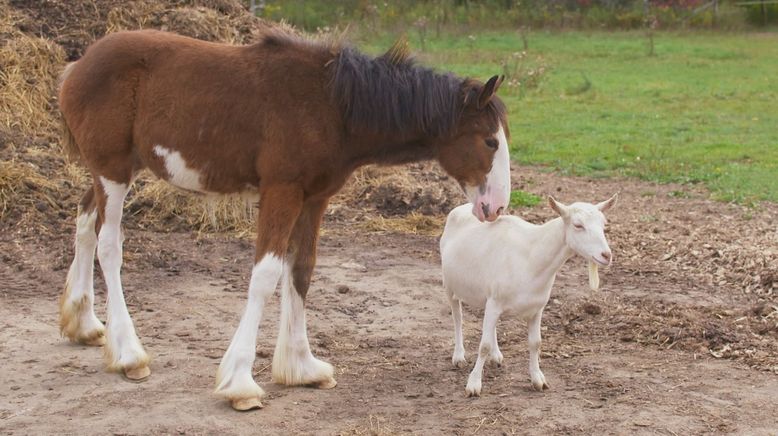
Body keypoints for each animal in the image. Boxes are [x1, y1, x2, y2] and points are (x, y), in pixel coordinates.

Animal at [59, 26, 510, 408]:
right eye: (489, 141)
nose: (496, 207)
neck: (332, 106)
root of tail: (76, 67)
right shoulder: (282, 191)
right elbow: (266, 275)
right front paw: (240, 382)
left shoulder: (313, 199)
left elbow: (301, 271)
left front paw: (301, 367)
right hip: (113, 171)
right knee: (108, 246)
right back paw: (129, 354)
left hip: (114, 170)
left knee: (83, 221)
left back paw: (84, 324)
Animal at [440, 196, 616, 396]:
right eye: (578, 225)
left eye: (603, 224)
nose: (606, 255)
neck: (531, 256)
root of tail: (464, 207)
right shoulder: (495, 302)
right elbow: (483, 345)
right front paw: (474, 384)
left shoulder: (536, 308)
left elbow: (535, 343)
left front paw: (538, 379)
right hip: (449, 285)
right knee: (457, 317)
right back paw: (459, 356)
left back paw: (496, 356)